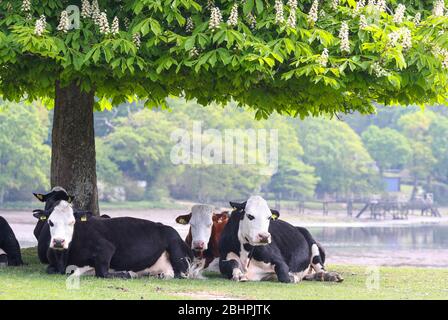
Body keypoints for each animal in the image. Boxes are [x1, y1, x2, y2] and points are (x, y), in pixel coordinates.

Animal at [44, 200, 193, 278]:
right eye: (50, 222)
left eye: (72, 222)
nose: (58, 241)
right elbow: (50, 269)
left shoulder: (106, 247)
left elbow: (103, 273)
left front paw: (126, 273)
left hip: (176, 249)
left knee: (180, 274)